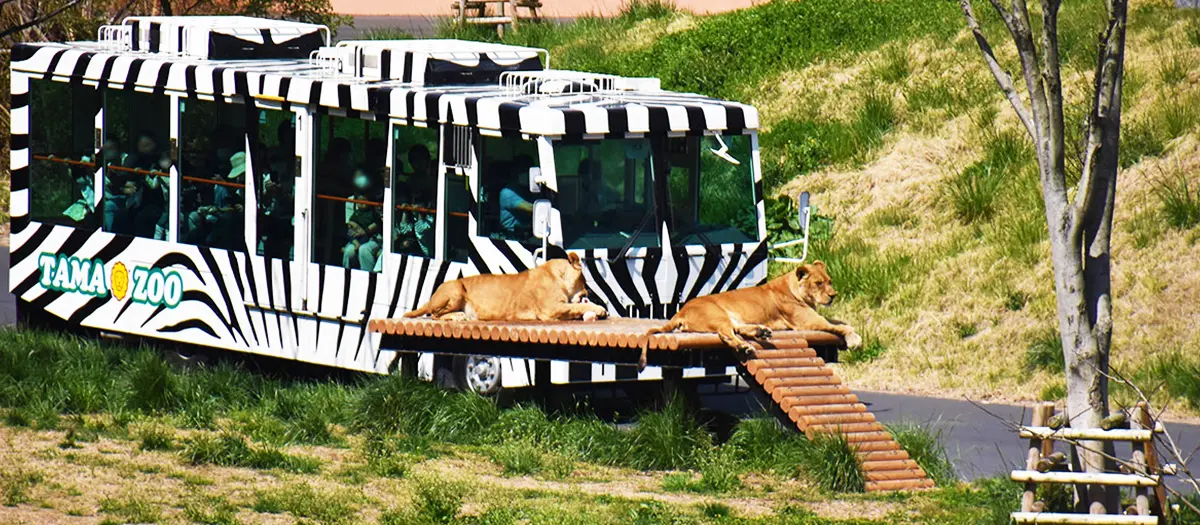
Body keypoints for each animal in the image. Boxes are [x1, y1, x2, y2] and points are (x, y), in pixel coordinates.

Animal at [403, 252, 609, 322]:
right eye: (584, 281)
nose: (588, 292)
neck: (557, 274)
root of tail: (431, 297)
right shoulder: (551, 309)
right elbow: (577, 306)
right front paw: (600, 309)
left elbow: (576, 307)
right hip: (455, 289)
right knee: (434, 314)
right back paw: (458, 316)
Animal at [640, 261, 862, 368]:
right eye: (818, 283)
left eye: (829, 280)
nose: (833, 295)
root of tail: (680, 312)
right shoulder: (808, 322)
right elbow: (839, 326)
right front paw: (855, 340)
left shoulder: (813, 317)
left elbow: (842, 321)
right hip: (718, 315)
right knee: (726, 335)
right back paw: (746, 347)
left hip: (731, 318)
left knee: (738, 329)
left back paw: (761, 332)